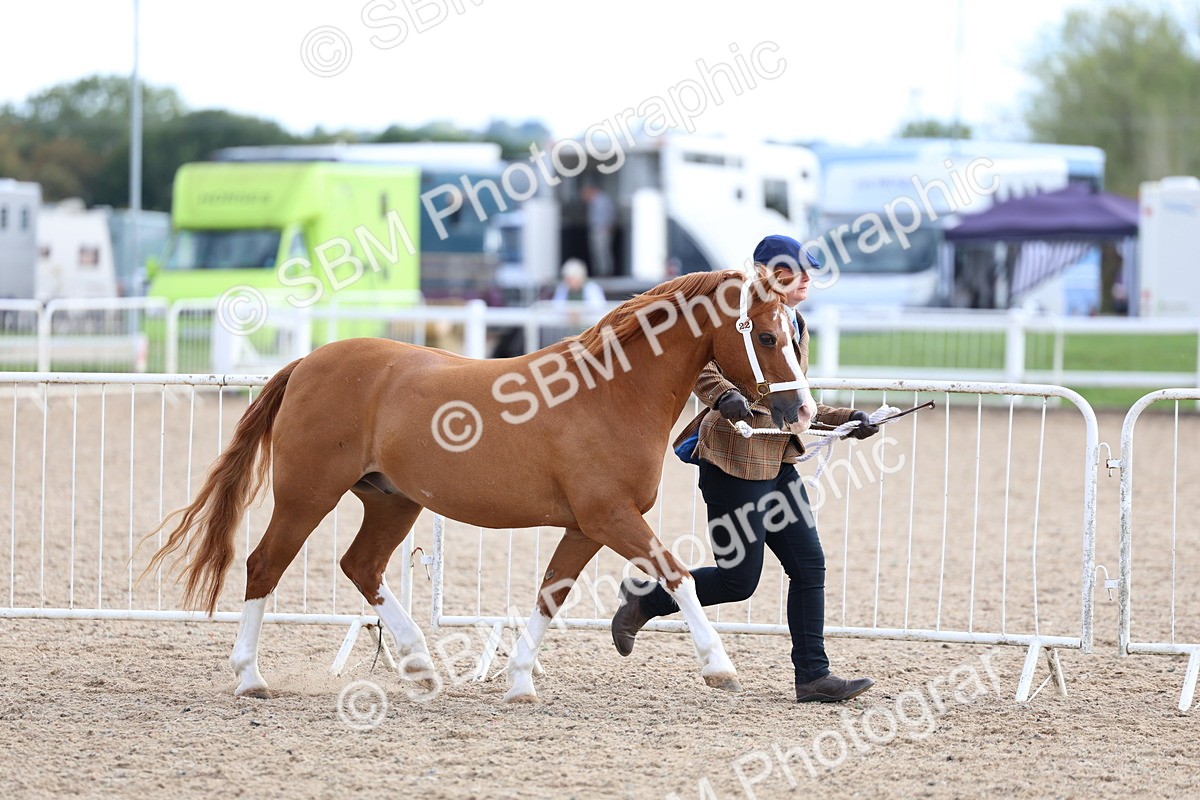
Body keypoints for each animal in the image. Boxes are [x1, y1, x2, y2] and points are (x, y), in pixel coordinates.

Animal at [143, 267, 818, 702]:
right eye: (766, 335)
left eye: (796, 332)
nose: (801, 413)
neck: (610, 394)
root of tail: (309, 362)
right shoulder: (610, 517)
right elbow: (677, 576)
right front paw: (720, 667)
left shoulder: (585, 526)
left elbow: (551, 594)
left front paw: (518, 682)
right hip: (306, 496)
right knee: (264, 565)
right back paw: (250, 677)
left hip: (391, 501)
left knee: (361, 566)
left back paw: (420, 665)